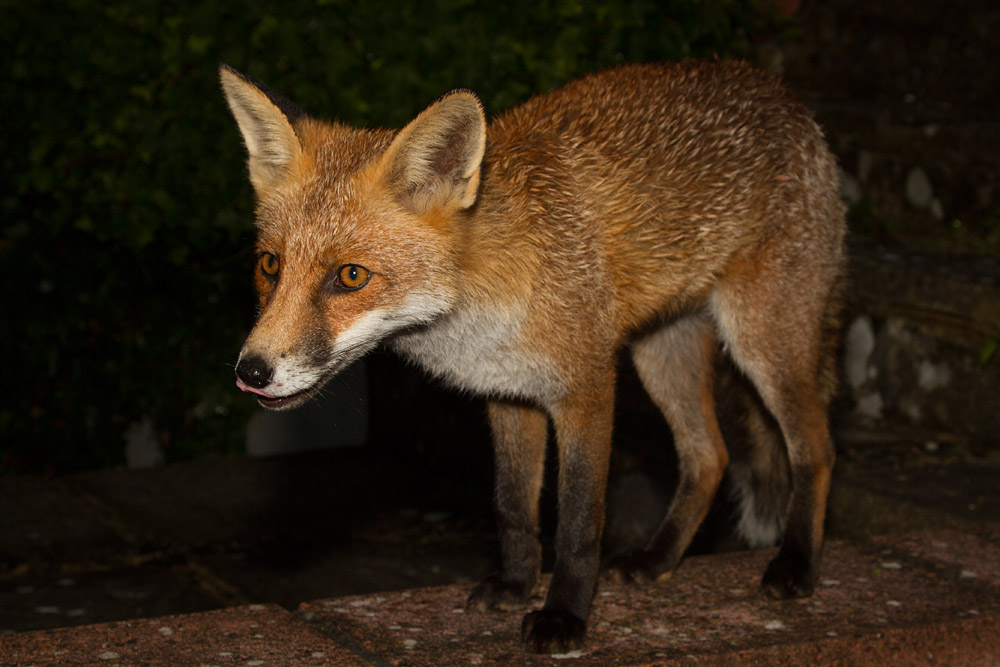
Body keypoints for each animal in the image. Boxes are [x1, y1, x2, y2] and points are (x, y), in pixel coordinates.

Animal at [220, 60, 845, 654]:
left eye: (351, 276)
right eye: (270, 265)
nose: (251, 372)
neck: (481, 299)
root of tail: (782, 95)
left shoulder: (587, 387)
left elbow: (577, 523)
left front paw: (563, 616)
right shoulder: (508, 393)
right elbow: (514, 507)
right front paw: (517, 586)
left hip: (765, 343)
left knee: (814, 449)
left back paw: (796, 566)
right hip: (662, 352)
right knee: (709, 457)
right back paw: (658, 560)